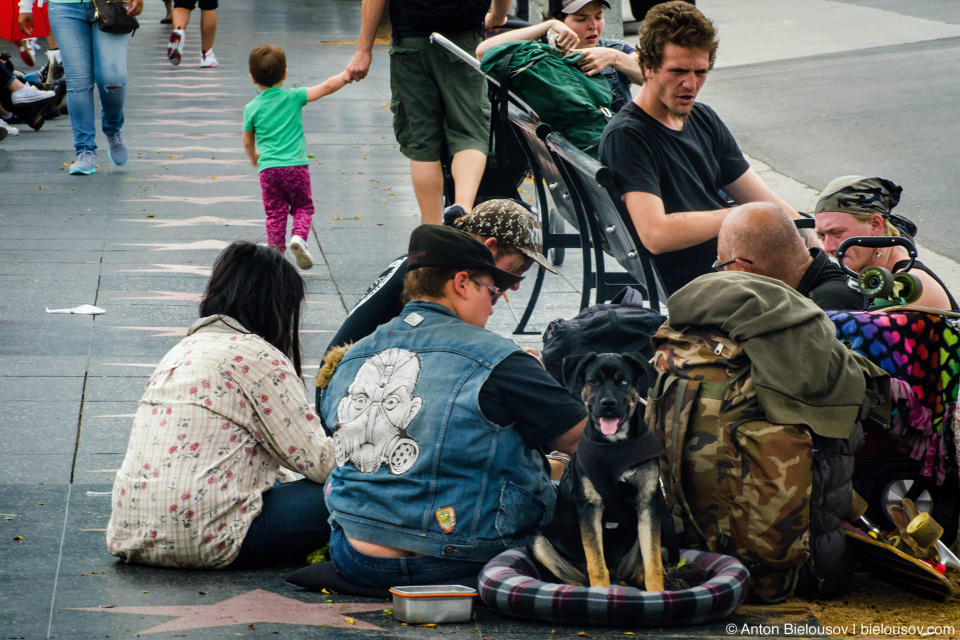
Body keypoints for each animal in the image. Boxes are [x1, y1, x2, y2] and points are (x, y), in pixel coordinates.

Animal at [528, 352, 664, 588]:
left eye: (624, 382)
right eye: (593, 381)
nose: (608, 403)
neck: (615, 447)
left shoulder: (648, 504)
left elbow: (653, 565)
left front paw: (658, 592)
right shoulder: (590, 508)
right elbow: (597, 566)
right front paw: (602, 592)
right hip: (538, 542)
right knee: (573, 580)